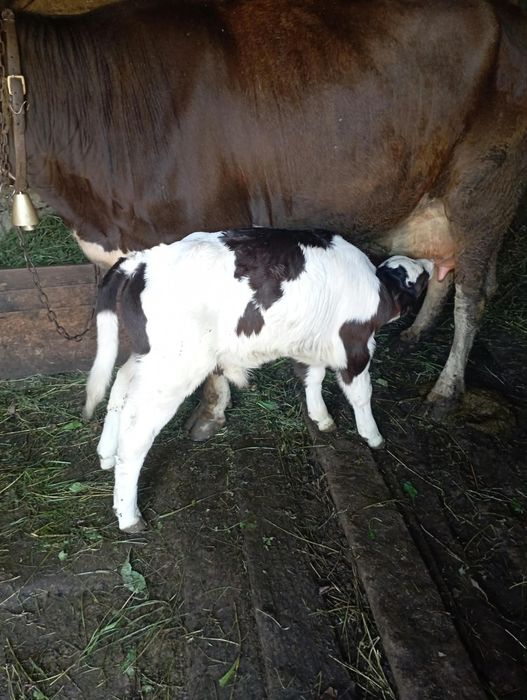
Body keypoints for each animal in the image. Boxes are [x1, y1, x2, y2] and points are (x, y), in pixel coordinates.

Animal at [4, 0, 527, 438]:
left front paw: (210, 411)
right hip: (436, 198)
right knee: (444, 267)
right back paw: (415, 333)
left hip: (485, 190)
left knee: (473, 296)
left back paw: (445, 390)